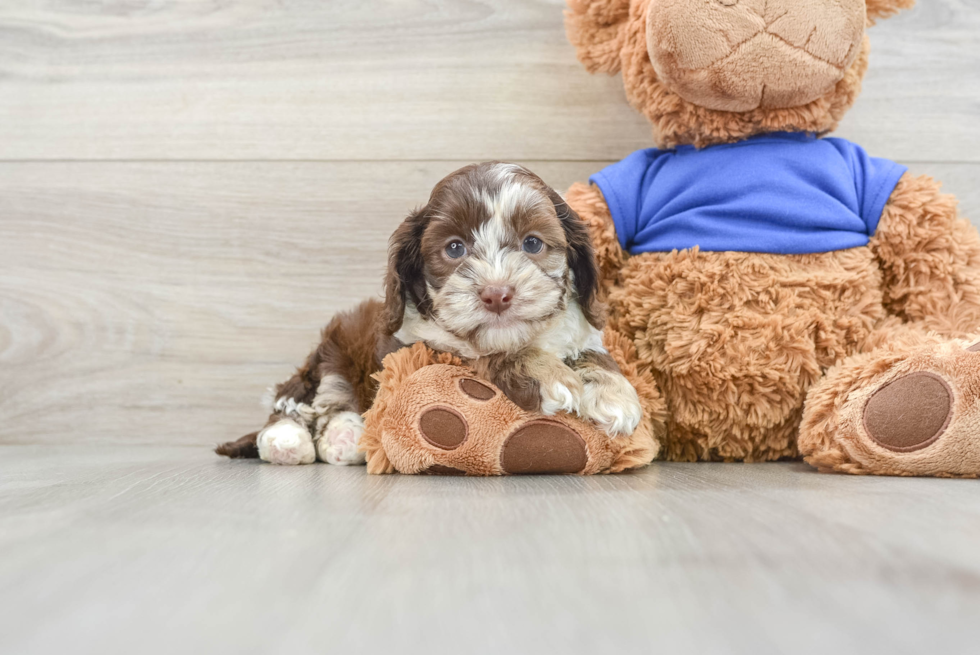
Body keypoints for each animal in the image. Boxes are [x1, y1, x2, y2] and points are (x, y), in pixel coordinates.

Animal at [216, 162, 644, 466]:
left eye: (533, 243)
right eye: (454, 248)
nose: (496, 295)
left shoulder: (580, 329)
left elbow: (595, 353)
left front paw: (613, 393)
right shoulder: (423, 348)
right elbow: (490, 355)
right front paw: (550, 375)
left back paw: (345, 439)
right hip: (330, 354)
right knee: (299, 403)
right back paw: (291, 441)